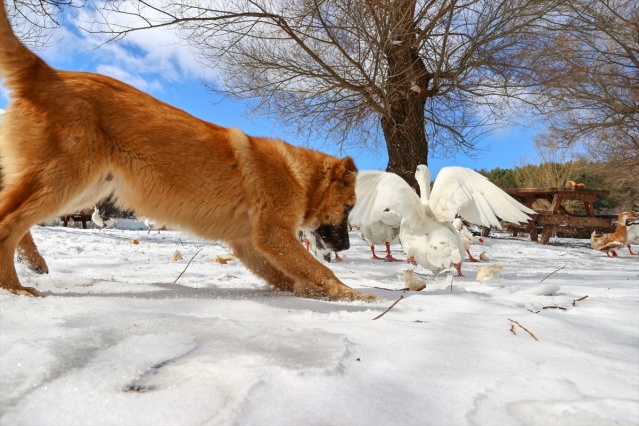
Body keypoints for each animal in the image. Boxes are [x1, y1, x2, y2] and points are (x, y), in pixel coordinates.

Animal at [0, 1, 378, 302]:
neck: (298, 175)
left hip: (83, 188)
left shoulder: (250, 243)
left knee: (15, 218)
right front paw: (354, 295)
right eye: (348, 207)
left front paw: (313, 292)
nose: (347, 247)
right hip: (68, 181)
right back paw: (13, 288)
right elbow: (318, 269)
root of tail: (48, 75)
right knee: (8, 223)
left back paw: (31, 262)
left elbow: (289, 275)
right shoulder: (273, 235)